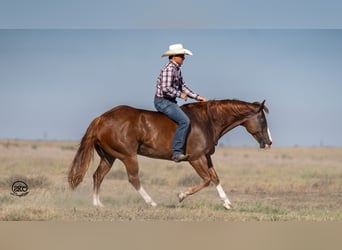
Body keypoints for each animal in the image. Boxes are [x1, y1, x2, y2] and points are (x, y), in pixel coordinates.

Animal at [68, 99, 272, 209]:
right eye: (262, 119)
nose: (269, 143)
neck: (207, 121)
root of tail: (101, 118)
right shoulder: (195, 158)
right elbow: (206, 179)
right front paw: (181, 196)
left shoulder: (206, 157)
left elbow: (215, 178)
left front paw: (227, 203)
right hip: (128, 156)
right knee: (133, 179)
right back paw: (151, 203)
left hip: (109, 157)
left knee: (97, 176)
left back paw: (98, 204)